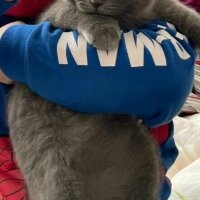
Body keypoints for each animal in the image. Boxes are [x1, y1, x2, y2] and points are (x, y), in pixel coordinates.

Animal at [7, 0, 200, 199]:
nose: (95, 2)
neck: (126, 19)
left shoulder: (157, 8)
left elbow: (182, 12)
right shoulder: (50, 16)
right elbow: (75, 12)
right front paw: (103, 31)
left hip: (145, 160)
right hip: (54, 169)